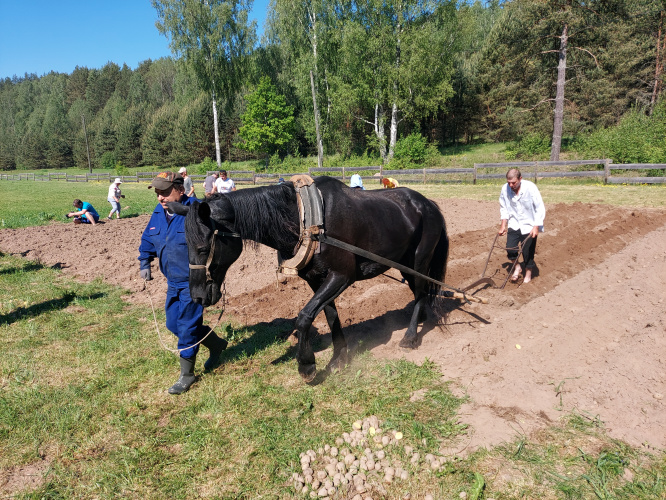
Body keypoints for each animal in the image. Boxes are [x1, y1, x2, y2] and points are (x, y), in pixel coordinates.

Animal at [169, 176, 448, 382]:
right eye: (185, 245)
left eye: (203, 248)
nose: (197, 296)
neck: (309, 220)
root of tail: (428, 203)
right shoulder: (316, 280)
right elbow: (330, 316)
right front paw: (339, 358)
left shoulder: (342, 276)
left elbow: (304, 316)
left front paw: (307, 364)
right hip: (405, 266)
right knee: (420, 293)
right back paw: (421, 318)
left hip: (419, 261)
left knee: (421, 293)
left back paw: (410, 337)